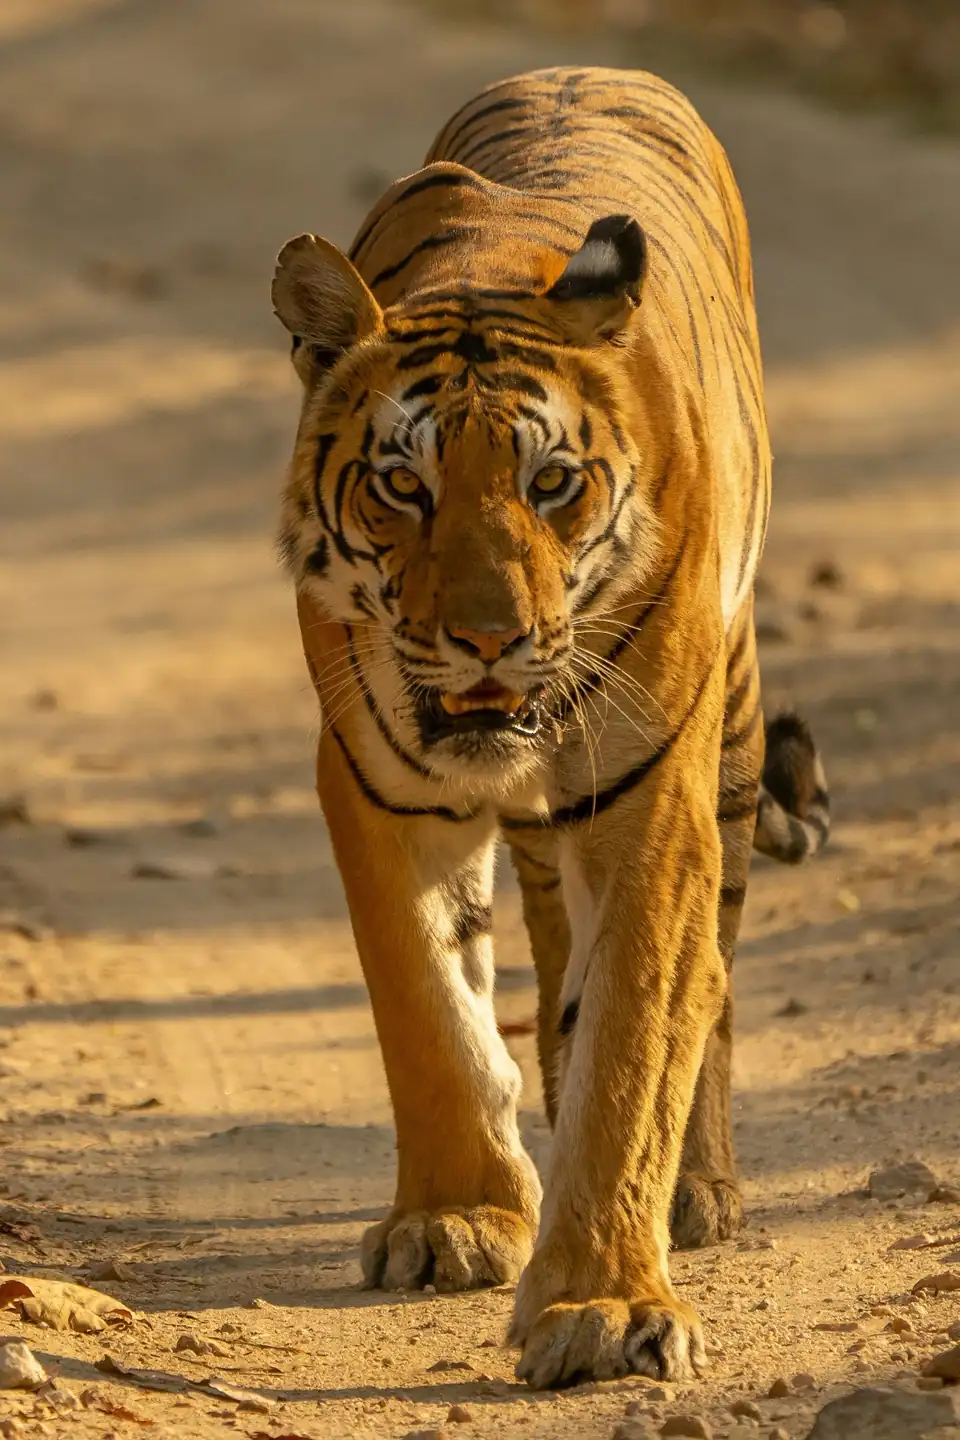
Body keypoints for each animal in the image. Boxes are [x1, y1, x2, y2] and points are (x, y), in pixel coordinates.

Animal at [271, 65, 829, 1389]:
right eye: (403, 484)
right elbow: (426, 1003)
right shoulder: (376, 787)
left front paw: (603, 1303)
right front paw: (457, 1217)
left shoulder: (656, 808)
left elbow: (638, 1032)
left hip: (732, 739)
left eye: (551, 484)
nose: (488, 637)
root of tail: (593, 67)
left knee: (712, 970)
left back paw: (699, 1191)